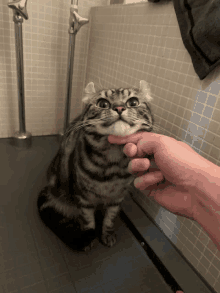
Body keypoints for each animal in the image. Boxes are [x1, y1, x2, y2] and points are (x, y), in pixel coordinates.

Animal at [37, 80, 154, 251]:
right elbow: (88, 221)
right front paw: (89, 237)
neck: (112, 162)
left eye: (133, 102)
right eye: (102, 103)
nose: (119, 107)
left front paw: (107, 234)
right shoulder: (83, 198)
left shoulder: (117, 197)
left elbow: (110, 218)